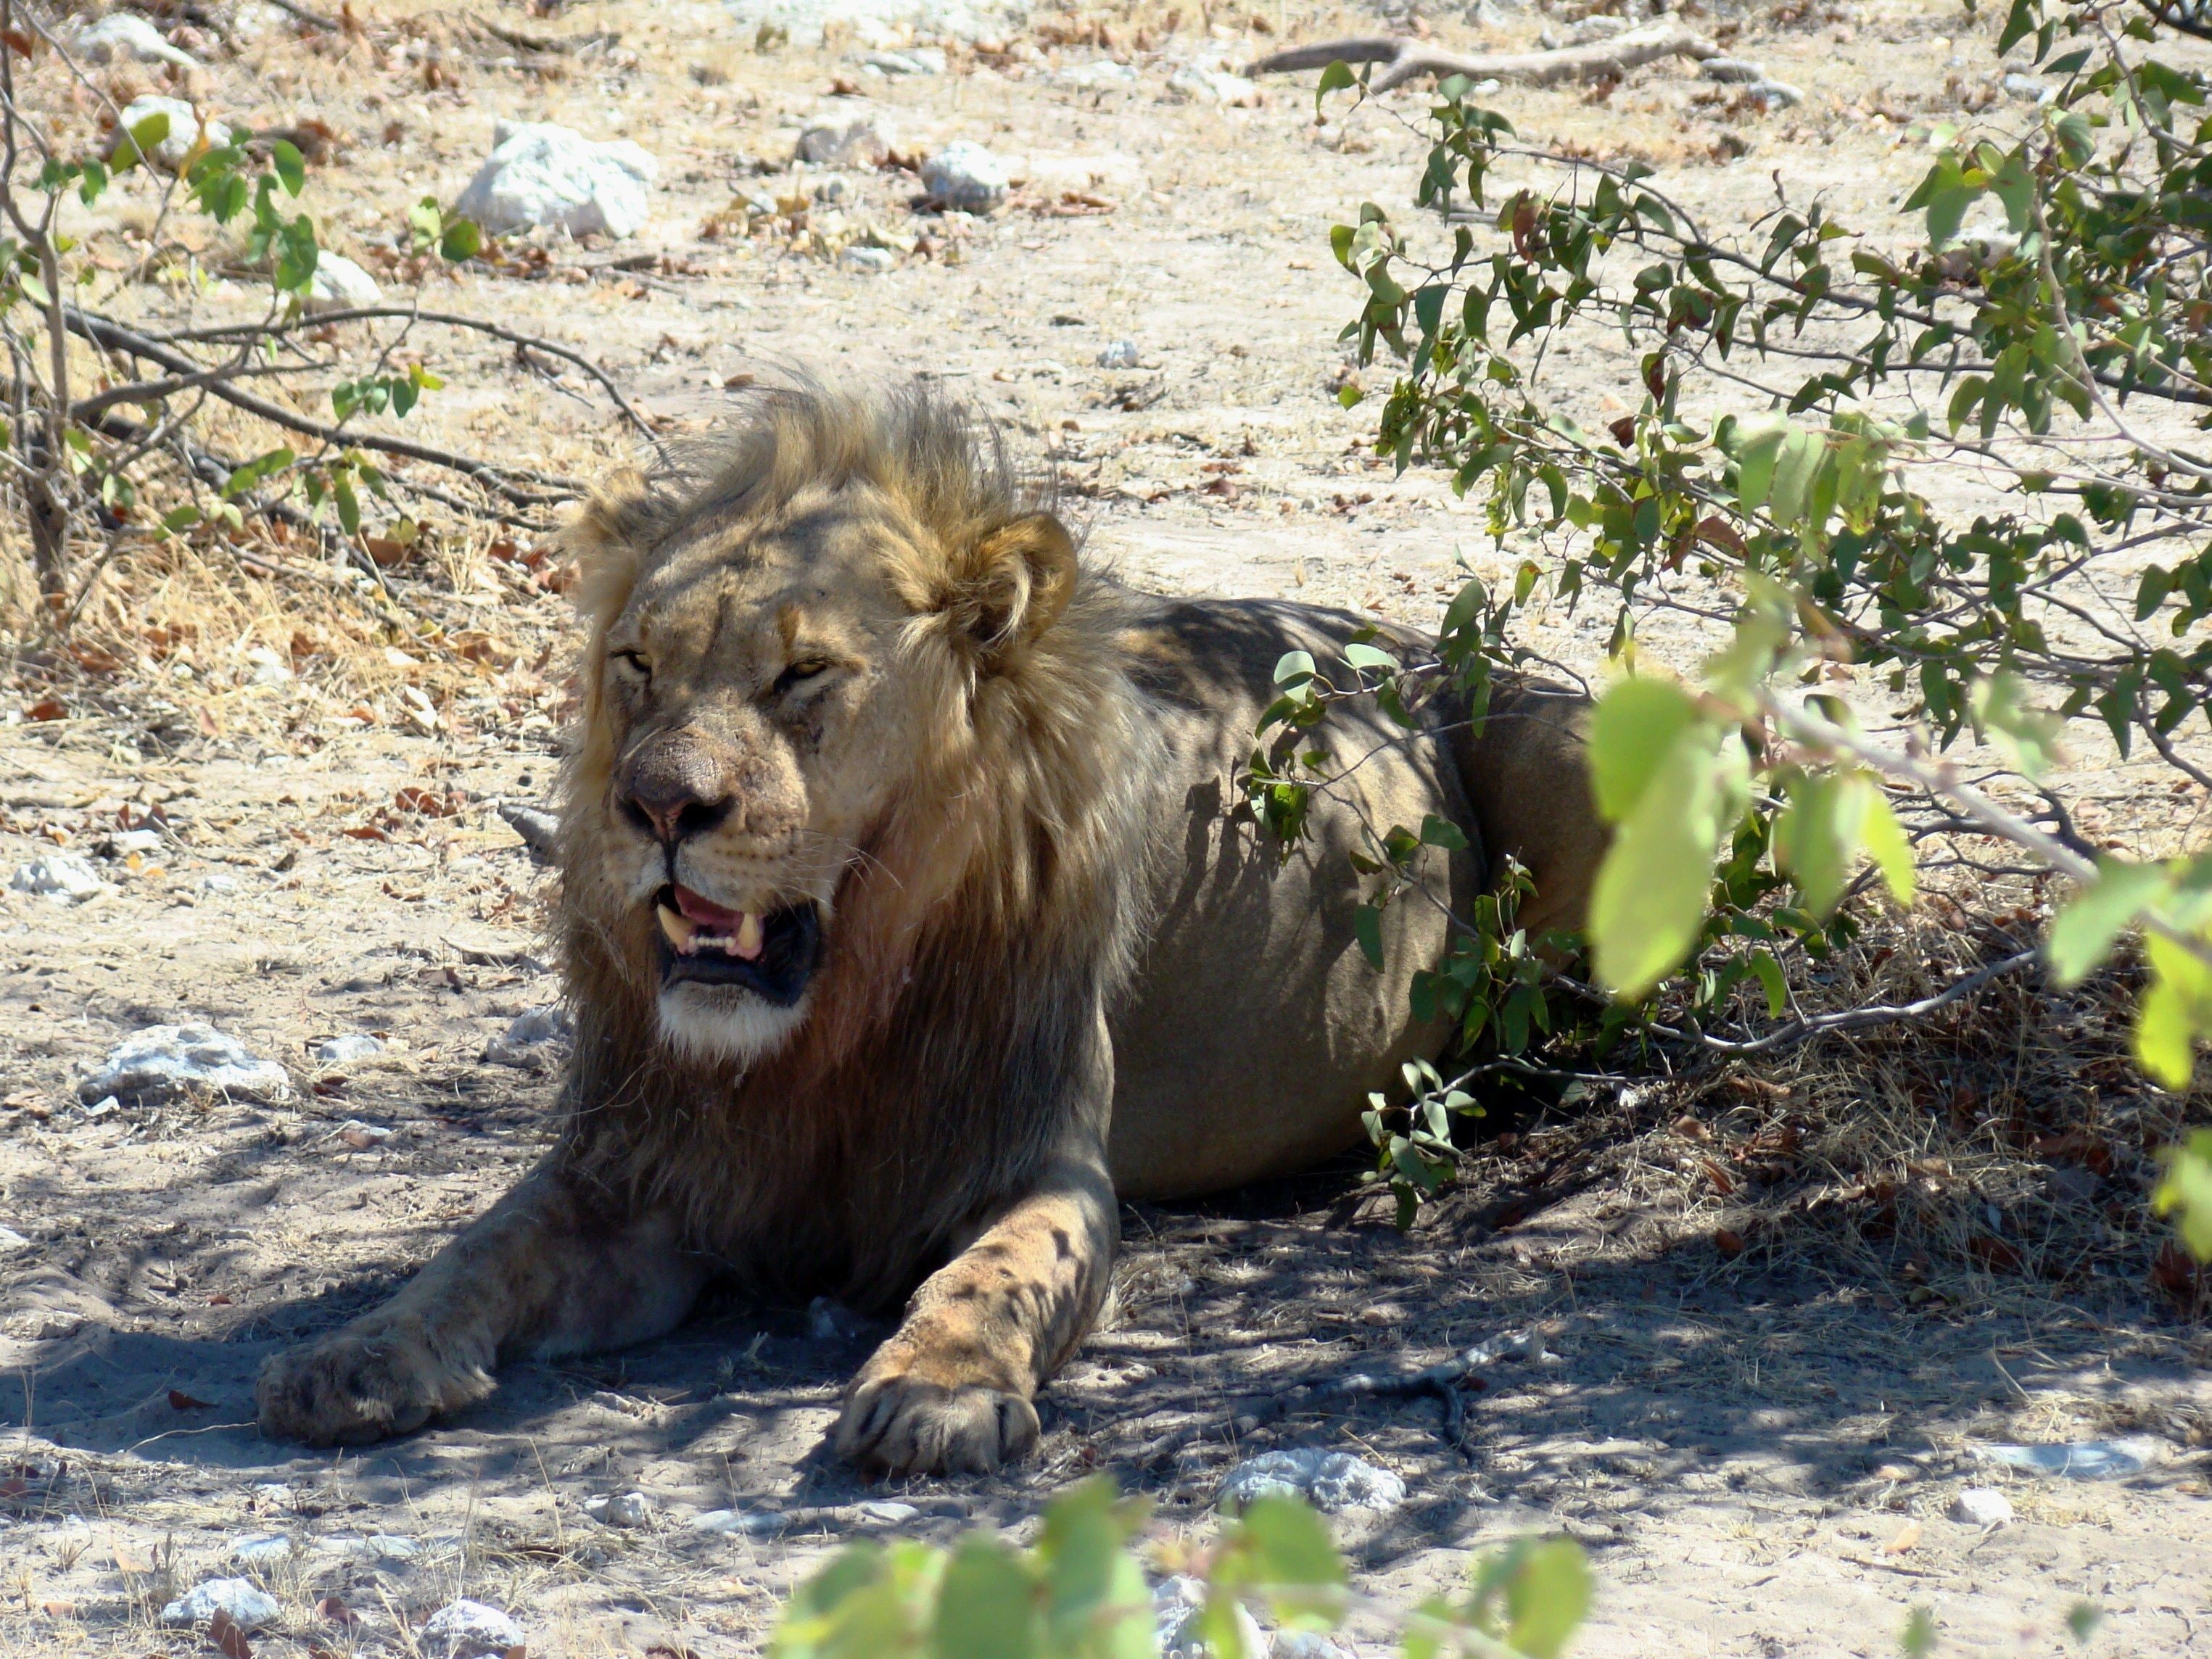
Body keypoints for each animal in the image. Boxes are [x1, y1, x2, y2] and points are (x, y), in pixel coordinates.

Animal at [255, 383, 1603, 1476]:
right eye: (636, 663)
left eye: (802, 675)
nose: (657, 806)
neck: (820, 1027)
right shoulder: (644, 1167)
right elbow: (478, 1246)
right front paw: (355, 1355)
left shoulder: (1032, 1154)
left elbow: (991, 1278)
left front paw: (935, 1397)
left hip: (1568, 746)